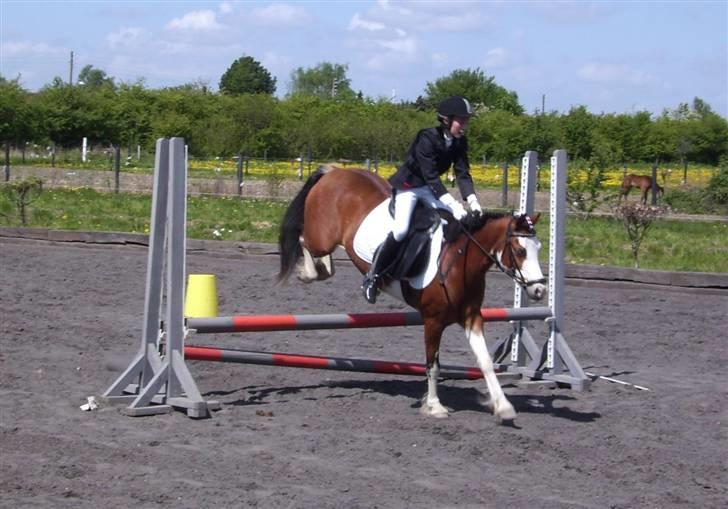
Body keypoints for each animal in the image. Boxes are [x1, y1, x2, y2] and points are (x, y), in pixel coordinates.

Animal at [277, 165, 547, 424]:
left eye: (539, 248)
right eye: (520, 251)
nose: (540, 289)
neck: (458, 261)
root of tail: (334, 171)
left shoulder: (472, 317)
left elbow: (486, 362)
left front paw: (504, 408)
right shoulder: (433, 320)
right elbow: (433, 365)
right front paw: (434, 407)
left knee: (320, 256)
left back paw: (323, 269)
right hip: (322, 236)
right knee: (304, 240)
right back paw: (308, 272)